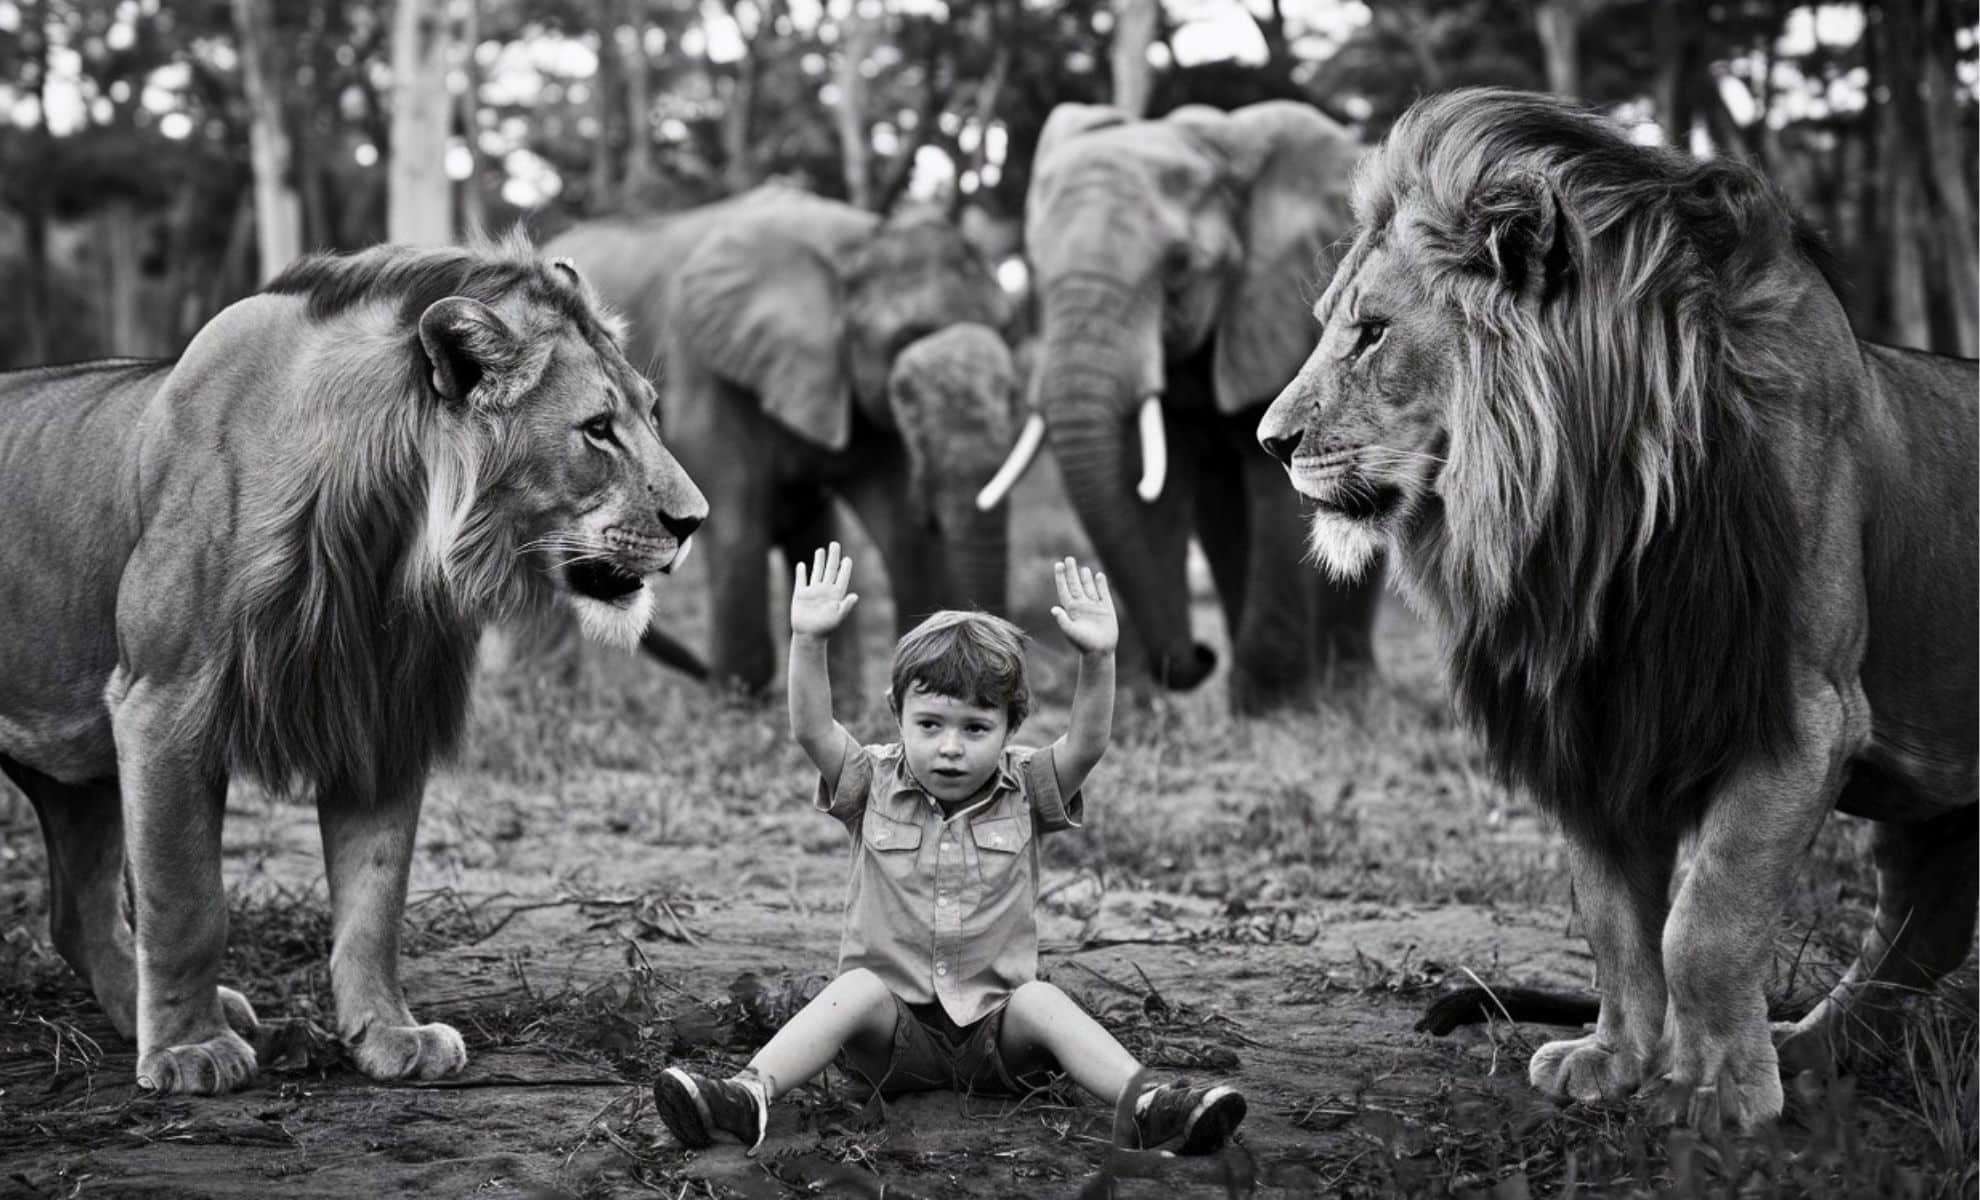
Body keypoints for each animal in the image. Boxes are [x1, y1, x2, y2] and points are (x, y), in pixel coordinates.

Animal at [0, 238, 707, 1095]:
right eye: (598, 430)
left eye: (651, 415)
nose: (694, 522)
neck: (387, 531)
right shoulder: (162, 702)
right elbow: (187, 899)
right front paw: (189, 1051)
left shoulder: (382, 711)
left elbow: (375, 902)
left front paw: (390, 1036)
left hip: (75, 770)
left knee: (77, 916)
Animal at [543, 188, 1018, 699]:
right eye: (902, 346)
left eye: (1007, 329)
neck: (857, 243)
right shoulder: (703, 358)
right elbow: (737, 520)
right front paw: (738, 699)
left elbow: (901, 529)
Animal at [979, 101, 1383, 714]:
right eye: (1037, 269)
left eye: (1179, 265)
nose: (1199, 656)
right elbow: (1155, 492)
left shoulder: (1284, 309)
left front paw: (1273, 708)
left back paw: (1349, 691)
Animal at [1257, 88, 1977, 1130]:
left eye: (1372, 331)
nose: (1269, 441)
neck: (1584, 520)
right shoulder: (1595, 712)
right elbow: (1614, 920)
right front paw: (1614, 1061)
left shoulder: (1803, 710)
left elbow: (1705, 922)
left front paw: (1718, 1094)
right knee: (1922, 922)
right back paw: (1812, 1052)